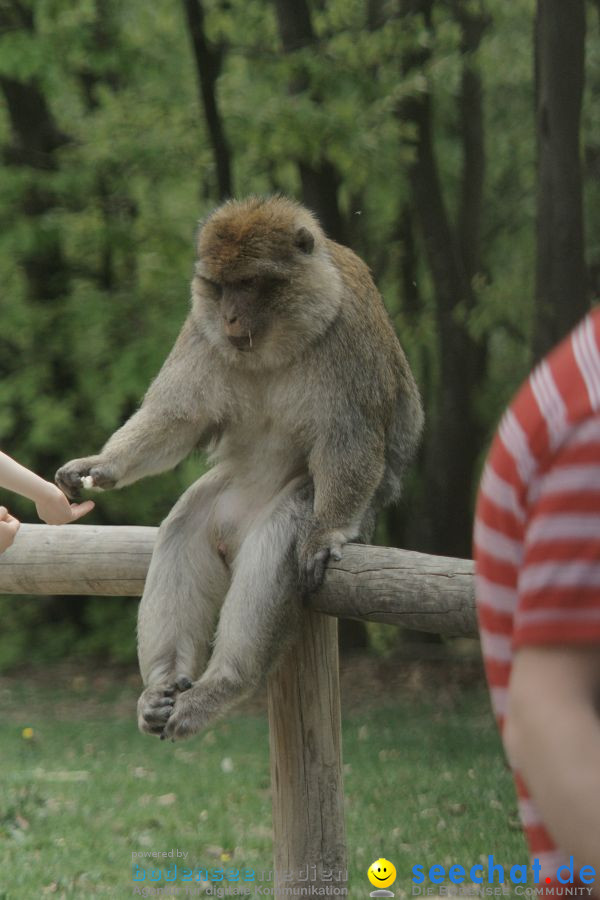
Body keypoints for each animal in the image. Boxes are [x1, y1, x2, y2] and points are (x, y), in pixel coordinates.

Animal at [55, 195, 422, 740]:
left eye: (249, 284)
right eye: (221, 286)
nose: (228, 317)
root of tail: (237, 526)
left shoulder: (349, 334)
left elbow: (349, 440)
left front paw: (329, 531)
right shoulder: (200, 329)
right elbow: (177, 418)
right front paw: (102, 465)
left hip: (303, 510)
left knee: (277, 545)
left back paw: (223, 683)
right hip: (218, 501)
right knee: (182, 530)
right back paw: (162, 687)